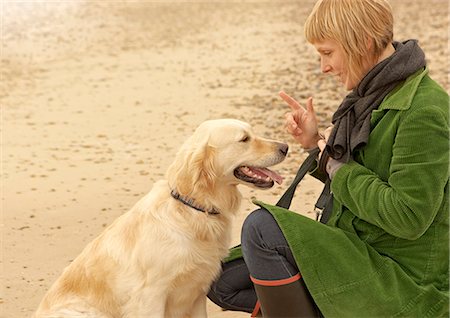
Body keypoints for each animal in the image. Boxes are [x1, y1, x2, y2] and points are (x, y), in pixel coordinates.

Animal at [34, 119, 288, 318]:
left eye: (252, 132)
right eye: (244, 139)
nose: (286, 147)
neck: (193, 208)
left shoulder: (197, 292)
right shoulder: (151, 296)